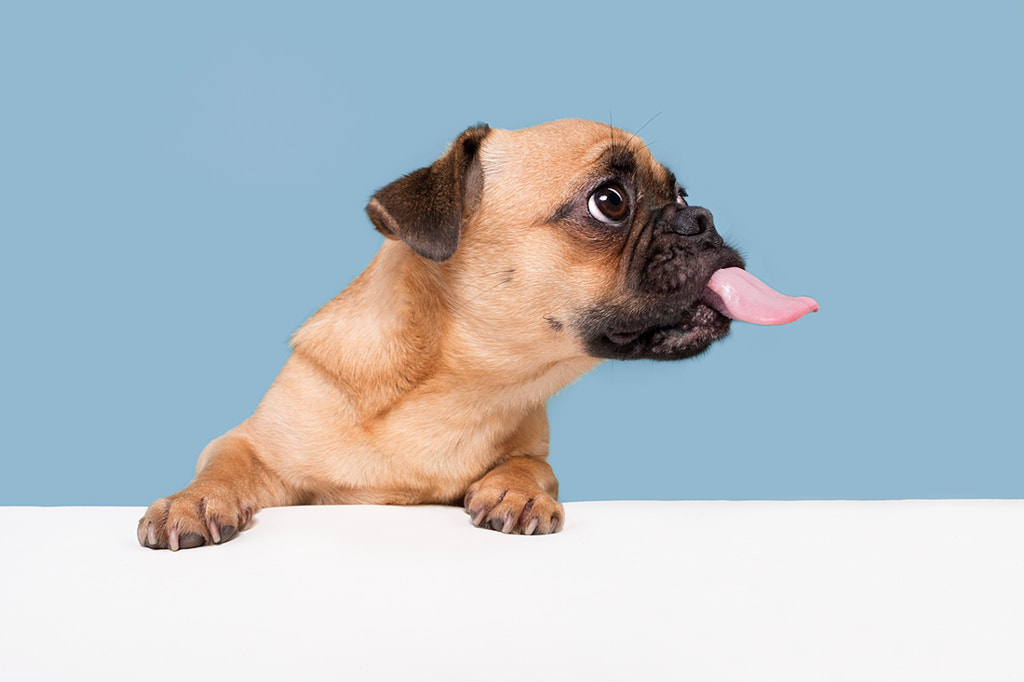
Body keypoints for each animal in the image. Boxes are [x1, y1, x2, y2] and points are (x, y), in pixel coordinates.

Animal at [138, 119, 815, 548]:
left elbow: (531, 464)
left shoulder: (534, 447)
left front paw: (517, 493)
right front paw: (191, 501)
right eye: (610, 202)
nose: (700, 218)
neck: (463, 386)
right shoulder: (252, 445)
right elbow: (223, 463)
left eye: (681, 193)